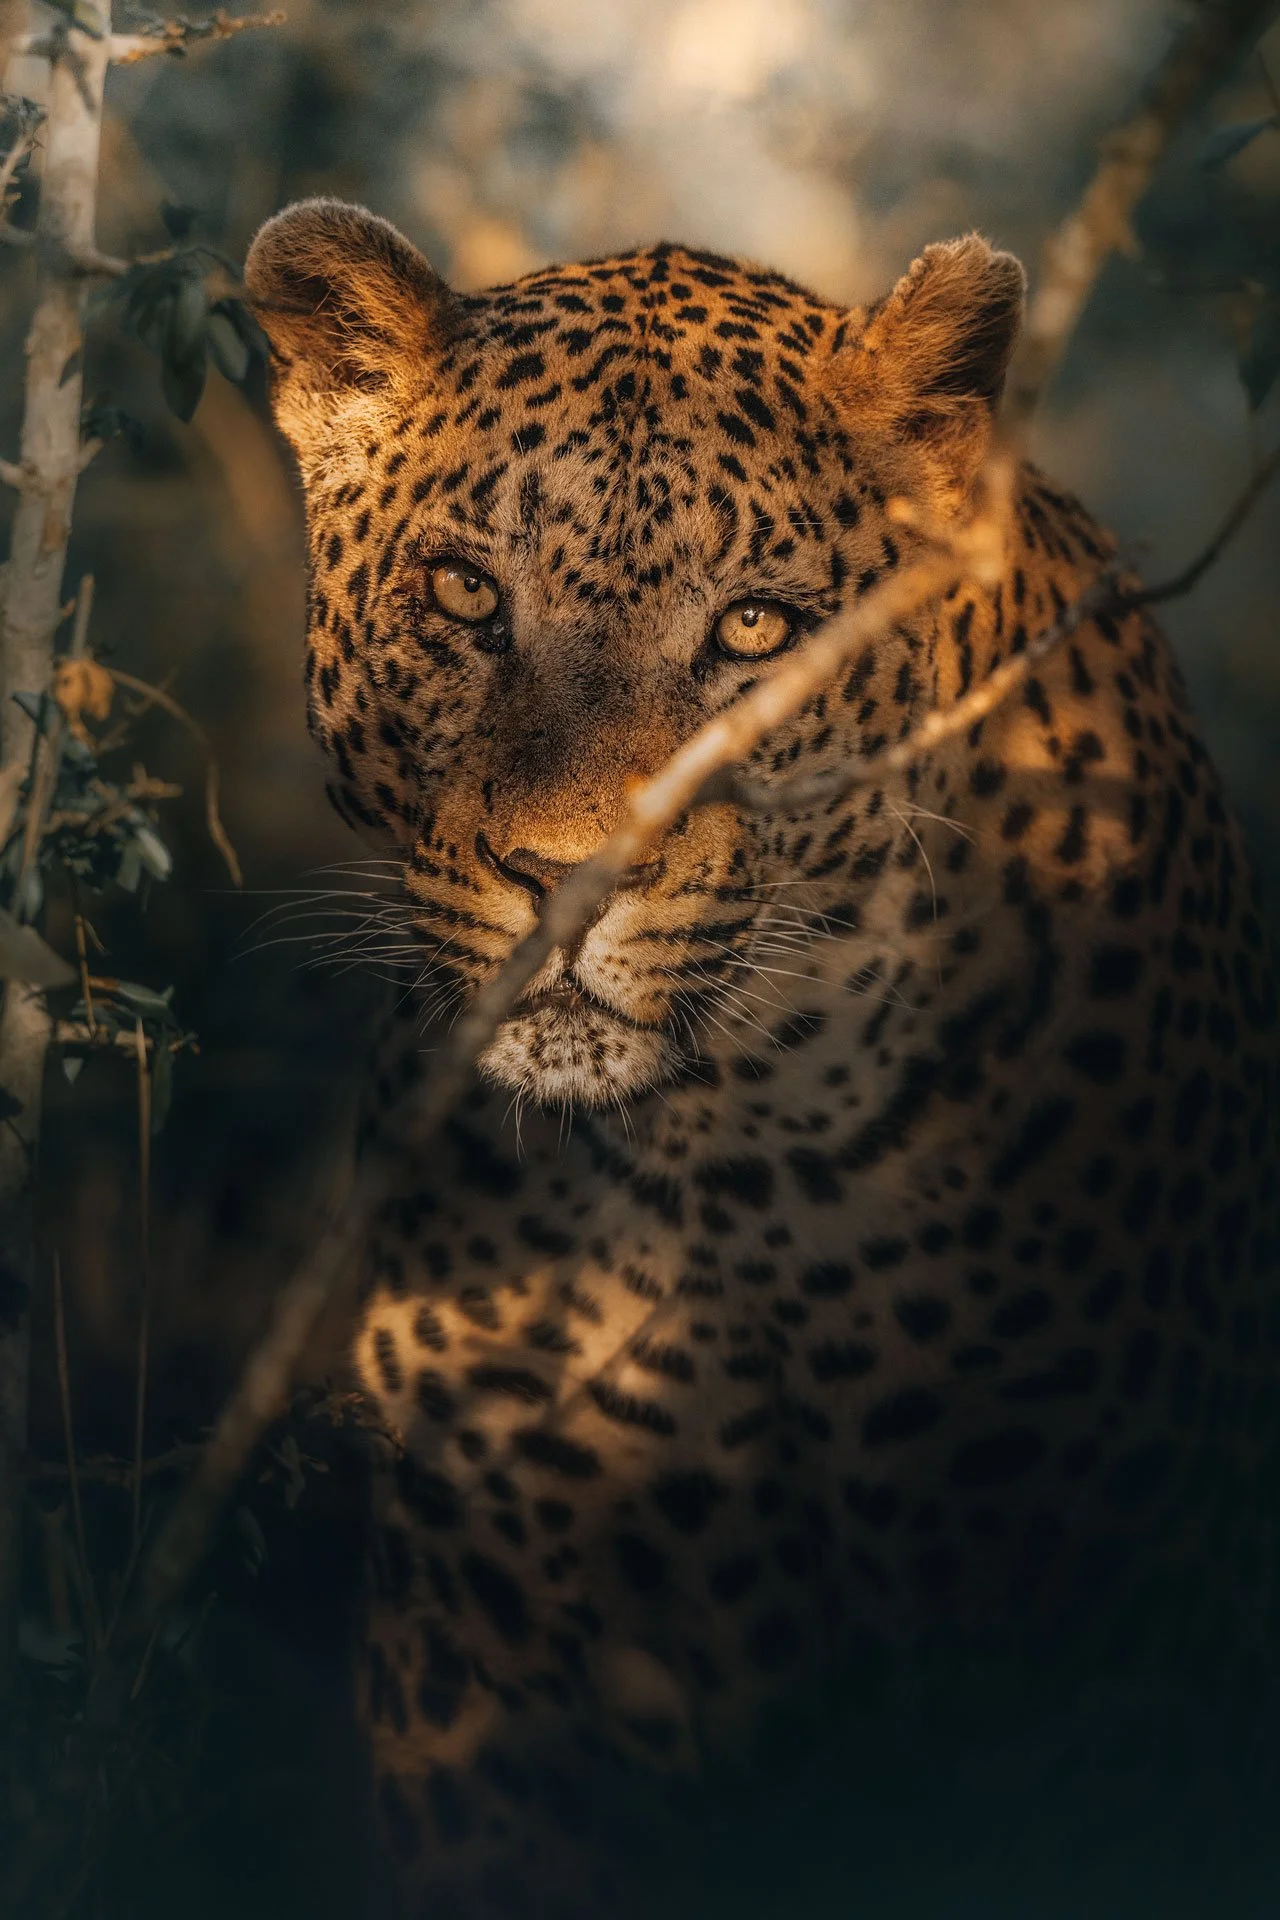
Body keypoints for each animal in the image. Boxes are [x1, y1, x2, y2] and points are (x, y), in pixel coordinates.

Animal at [244, 199, 1280, 1919]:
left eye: (752, 629)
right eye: (462, 596)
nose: (567, 878)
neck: (729, 1156)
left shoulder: (1089, 1605)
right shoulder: (495, 1619)